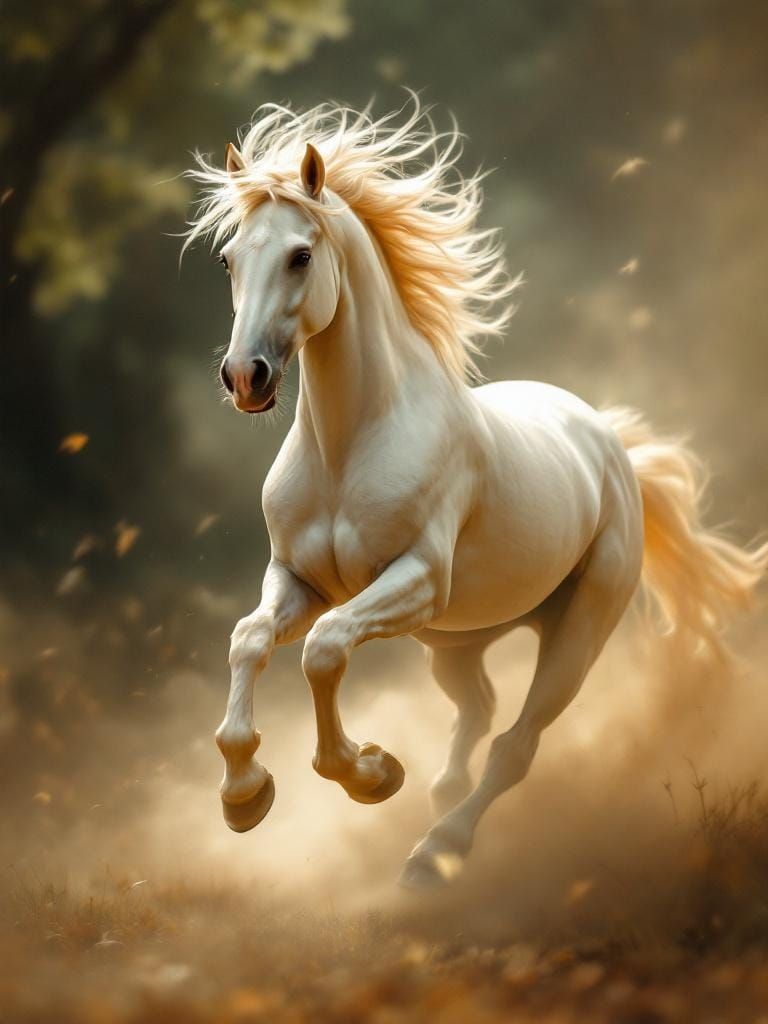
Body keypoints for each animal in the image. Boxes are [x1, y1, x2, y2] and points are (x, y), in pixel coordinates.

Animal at [185, 99, 767, 888]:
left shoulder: (416, 580)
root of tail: (607, 441)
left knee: (515, 745)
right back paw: (438, 802)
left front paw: (370, 774)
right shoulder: (299, 579)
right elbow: (248, 639)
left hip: (576, 633)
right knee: (481, 712)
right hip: (457, 644)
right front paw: (244, 795)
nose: (246, 377)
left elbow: (326, 650)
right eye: (228, 258)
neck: (348, 447)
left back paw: (436, 854)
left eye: (301, 255)